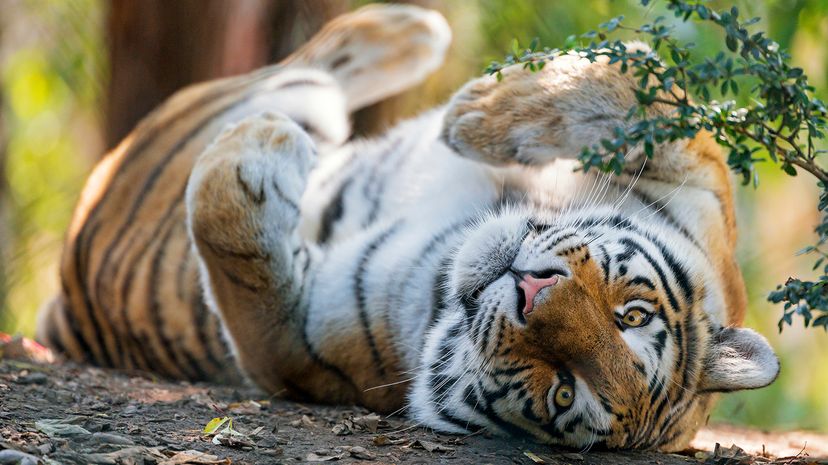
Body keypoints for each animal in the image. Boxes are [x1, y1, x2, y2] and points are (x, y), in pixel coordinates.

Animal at [37, 2, 776, 450]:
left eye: (565, 389)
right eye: (632, 314)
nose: (530, 291)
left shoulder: (297, 343)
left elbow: (230, 238)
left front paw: (258, 154)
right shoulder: (709, 200)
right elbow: (649, 96)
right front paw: (478, 114)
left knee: (305, 83)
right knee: (307, 67)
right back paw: (416, 29)